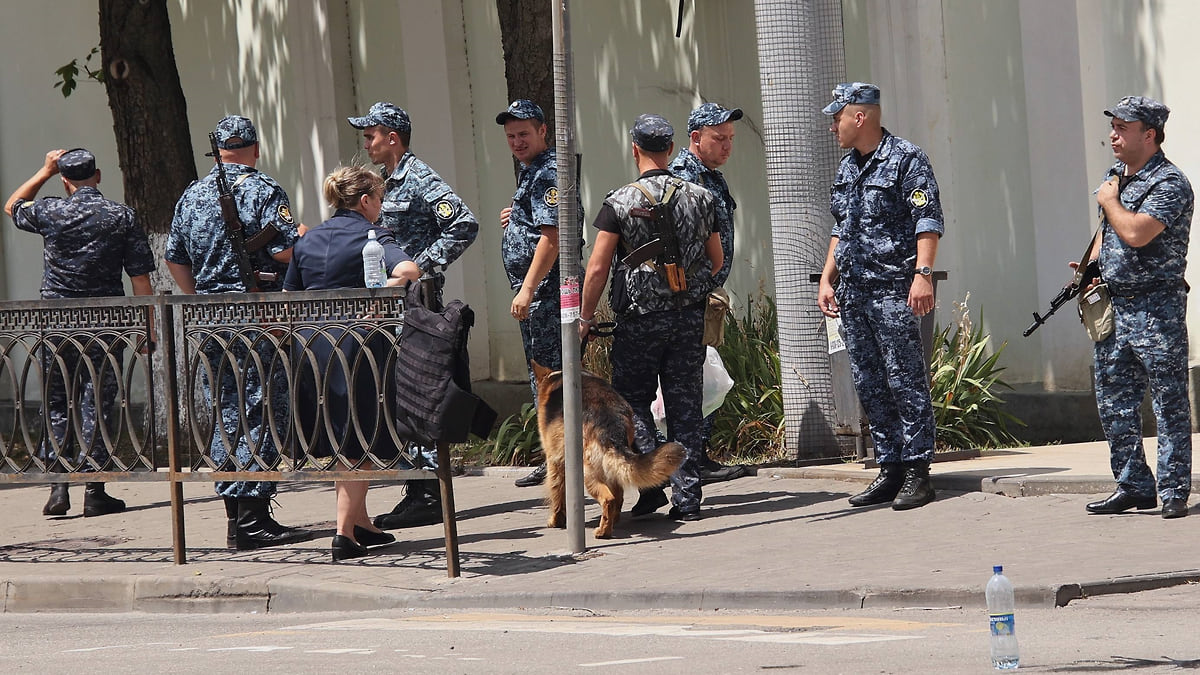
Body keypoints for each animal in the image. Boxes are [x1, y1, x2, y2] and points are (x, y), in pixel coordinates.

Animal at [535, 357, 686, 535]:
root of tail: (612, 425)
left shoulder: (555, 462)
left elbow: (557, 492)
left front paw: (556, 520)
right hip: (609, 466)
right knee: (618, 495)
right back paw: (613, 521)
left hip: (588, 472)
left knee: (609, 499)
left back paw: (603, 532)